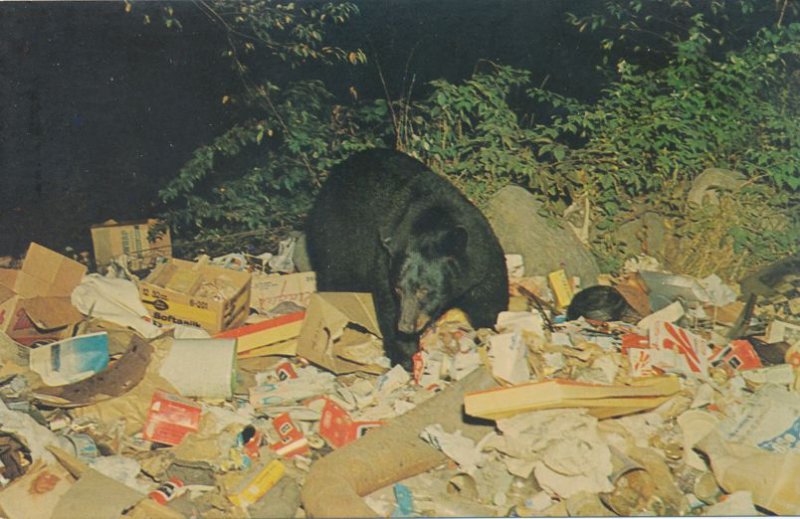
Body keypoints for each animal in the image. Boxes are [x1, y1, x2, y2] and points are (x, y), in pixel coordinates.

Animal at [306, 149, 506, 370]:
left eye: (424, 290)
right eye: (398, 289)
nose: (406, 326)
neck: (433, 223)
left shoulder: (480, 259)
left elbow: (489, 300)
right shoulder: (383, 265)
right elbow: (388, 307)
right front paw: (408, 357)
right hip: (338, 238)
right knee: (335, 278)